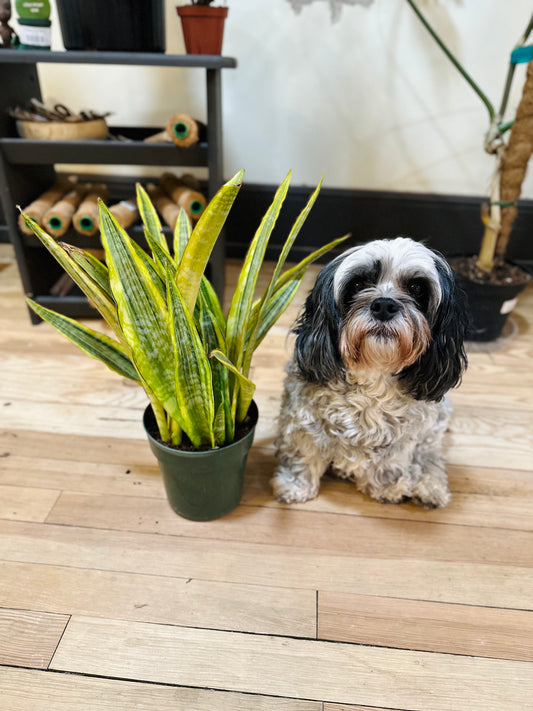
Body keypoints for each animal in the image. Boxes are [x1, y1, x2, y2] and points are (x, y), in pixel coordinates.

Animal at [272, 242, 468, 508]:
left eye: (416, 288)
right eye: (357, 284)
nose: (384, 305)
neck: (373, 377)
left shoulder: (402, 438)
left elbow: (388, 463)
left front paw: (385, 487)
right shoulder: (303, 421)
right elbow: (303, 455)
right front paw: (295, 486)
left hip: (432, 426)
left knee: (429, 455)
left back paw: (430, 488)